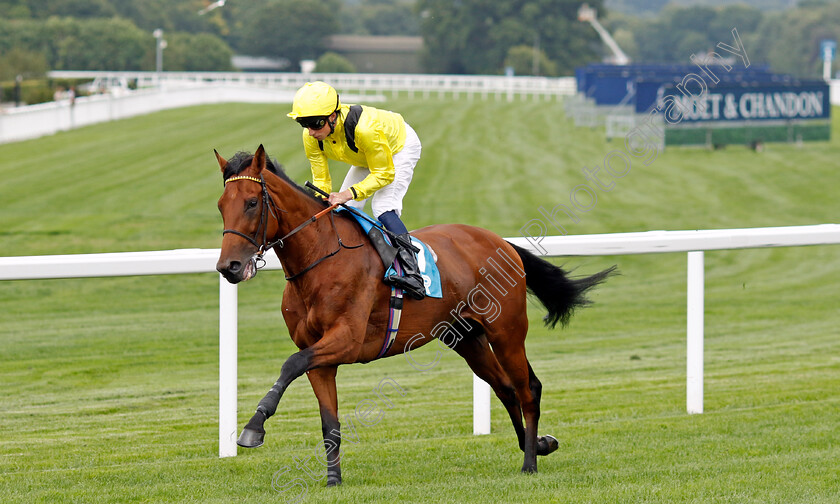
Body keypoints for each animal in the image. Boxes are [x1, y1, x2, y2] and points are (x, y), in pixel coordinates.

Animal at [213, 145, 612, 484]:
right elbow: (329, 422)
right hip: (467, 338)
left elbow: (290, 364)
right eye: (220, 205)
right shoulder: (320, 357)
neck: (320, 258)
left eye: (251, 202)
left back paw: (529, 462)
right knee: (506, 388)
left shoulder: (347, 340)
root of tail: (502, 242)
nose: (228, 267)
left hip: (507, 332)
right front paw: (333, 480)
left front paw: (253, 427)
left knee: (527, 389)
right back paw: (539, 444)